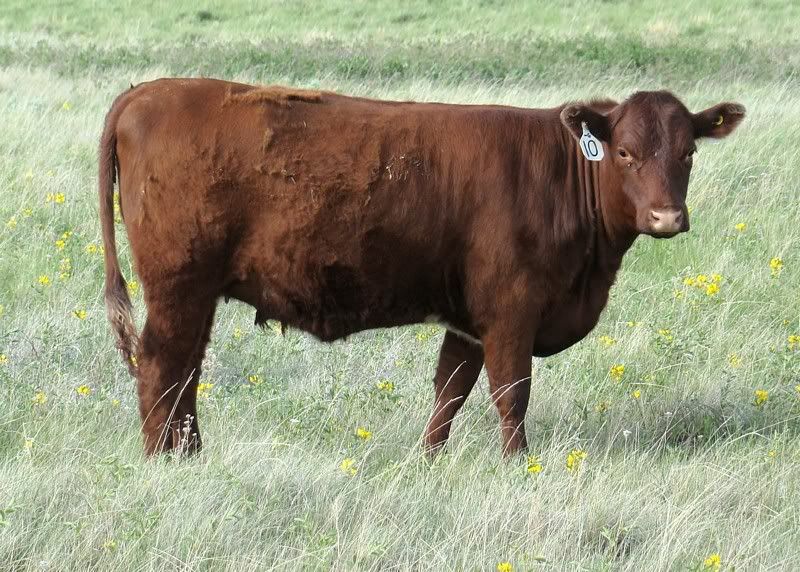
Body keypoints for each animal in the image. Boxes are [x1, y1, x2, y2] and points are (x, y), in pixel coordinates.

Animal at [98, 78, 745, 457]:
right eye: (625, 152)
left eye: (688, 151)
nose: (668, 216)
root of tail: (147, 91)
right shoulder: (511, 309)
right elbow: (511, 393)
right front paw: (520, 465)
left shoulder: (468, 319)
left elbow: (449, 390)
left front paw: (429, 460)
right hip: (179, 286)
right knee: (162, 369)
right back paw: (165, 461)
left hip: (195, 295)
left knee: (183, 375)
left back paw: (190, 453)